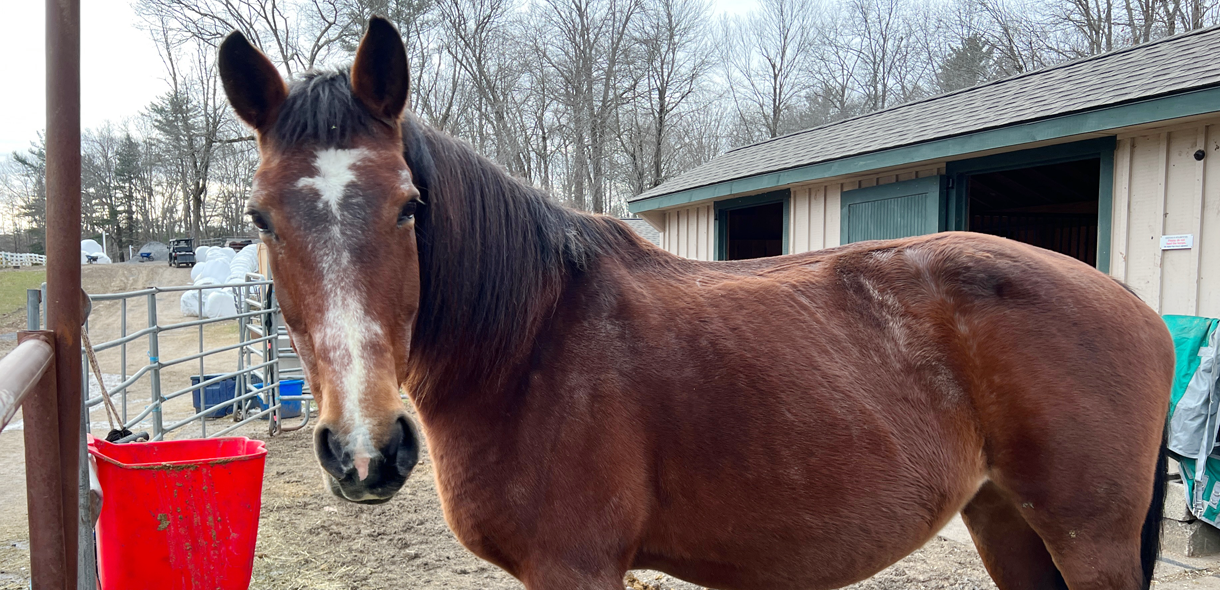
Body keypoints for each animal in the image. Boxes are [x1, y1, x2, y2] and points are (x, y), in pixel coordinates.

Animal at [218, 17, 1174, 590]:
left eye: (409, 206)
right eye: (260, 218)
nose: (367, 452)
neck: (531, 343)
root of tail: (1136, 304)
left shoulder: (576, 566)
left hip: (1087, 540)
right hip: (1006, 520)